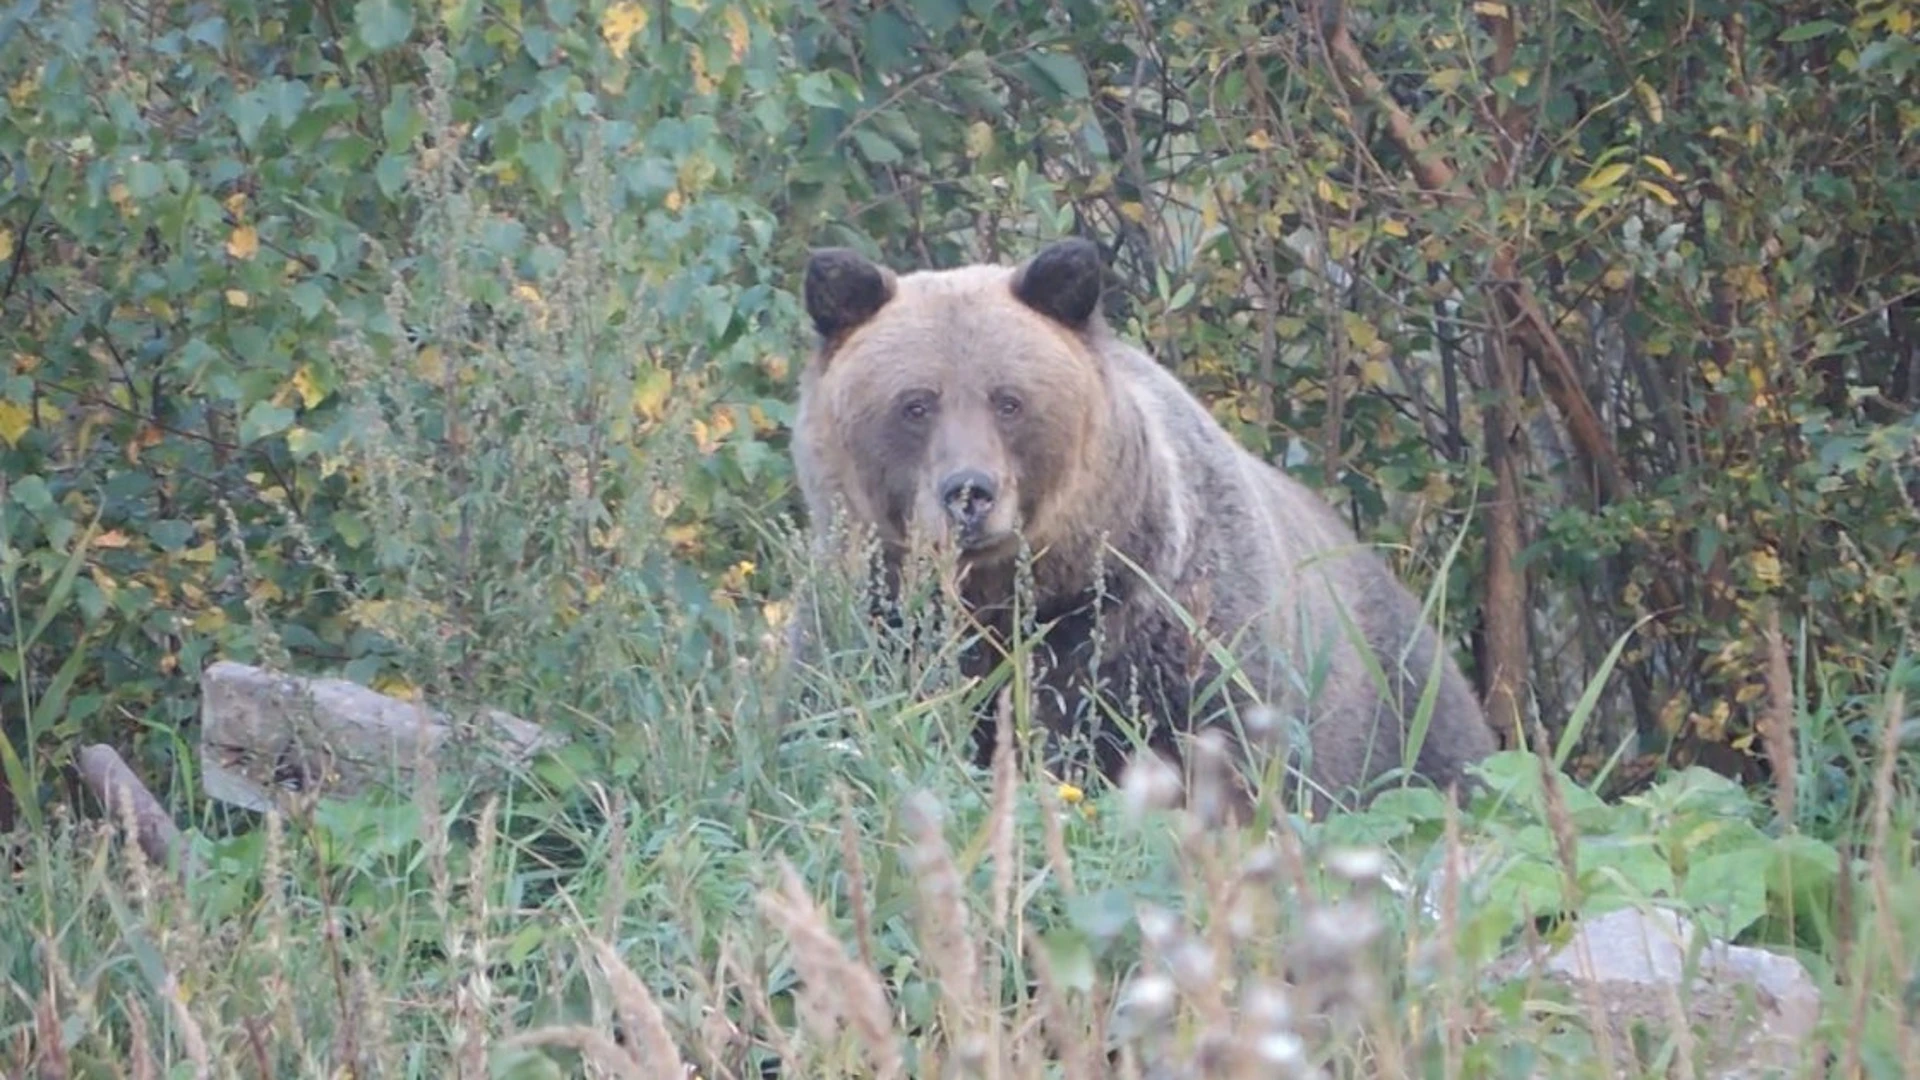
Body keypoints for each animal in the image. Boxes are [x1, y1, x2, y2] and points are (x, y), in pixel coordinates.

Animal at [779, 233, 1497, 807]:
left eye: (1009, 400)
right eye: (915, 403)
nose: (970, 493)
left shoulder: (1165, 633)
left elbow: (1219, 750)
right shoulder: (872, 624)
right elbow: (836, 722)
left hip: (1405, 702)